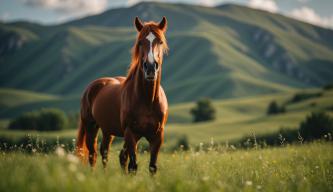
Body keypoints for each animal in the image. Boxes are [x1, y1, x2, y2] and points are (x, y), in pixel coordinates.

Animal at [75, 16, 169, 174]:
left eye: (160, 42)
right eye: (140, 42)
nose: (150, 68)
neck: (147, 100)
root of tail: (92, 86)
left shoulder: (157, 136)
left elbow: (152, 166)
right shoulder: (130, 133)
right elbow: (133, 166)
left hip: (108, 130)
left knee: (106, 152)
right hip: (91, 126)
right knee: (93, 154)